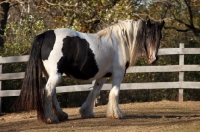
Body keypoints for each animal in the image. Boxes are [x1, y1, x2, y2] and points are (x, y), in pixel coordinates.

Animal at [14, 18, 165, 124]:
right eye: (147, 36)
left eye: (160, 37)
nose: (153, 59)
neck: (121, 41)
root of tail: (45, 35)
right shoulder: (118, 74)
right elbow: (114, 93)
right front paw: (117, 114)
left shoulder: (103, 76)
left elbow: (94, 92)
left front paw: (86, 112)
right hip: (56, 75)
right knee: (47, 92)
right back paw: (50, 118)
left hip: (49, 74)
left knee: (53, 94)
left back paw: (61, 115)